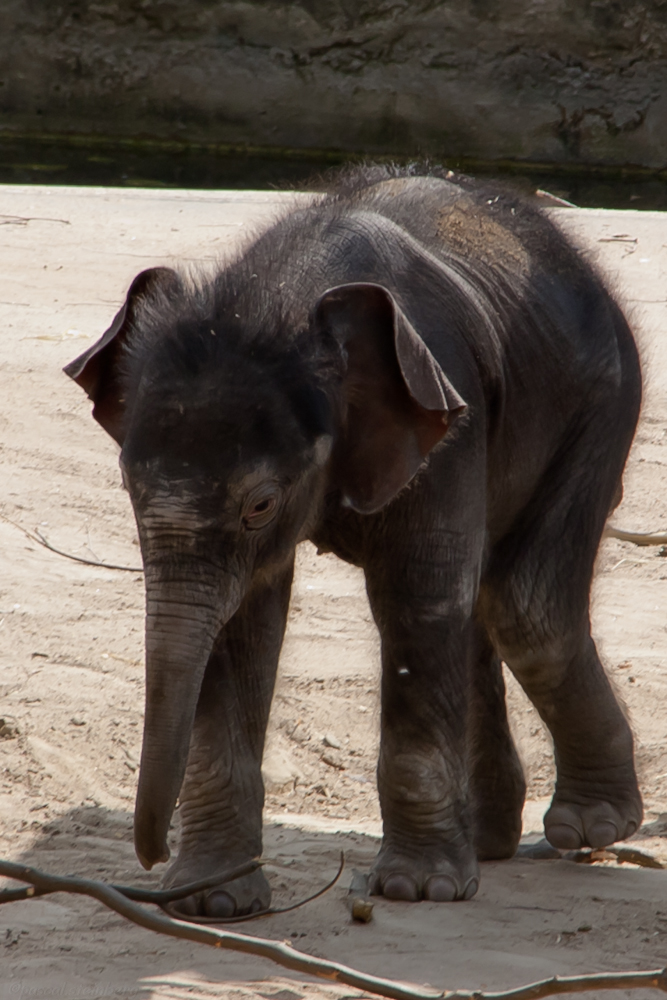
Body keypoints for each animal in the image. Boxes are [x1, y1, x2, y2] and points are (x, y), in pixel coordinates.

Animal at [66, 164, 640, 916]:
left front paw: (419, 890)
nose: (152, 856)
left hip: (603, 402)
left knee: (524, 610)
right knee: (484, 608)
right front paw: (212, 900)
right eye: (128, 487)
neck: (278, 299)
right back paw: (491, 841)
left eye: (261, 504)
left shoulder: (444, 421)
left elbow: (416, 598)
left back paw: (588, 828)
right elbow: (239, 620)